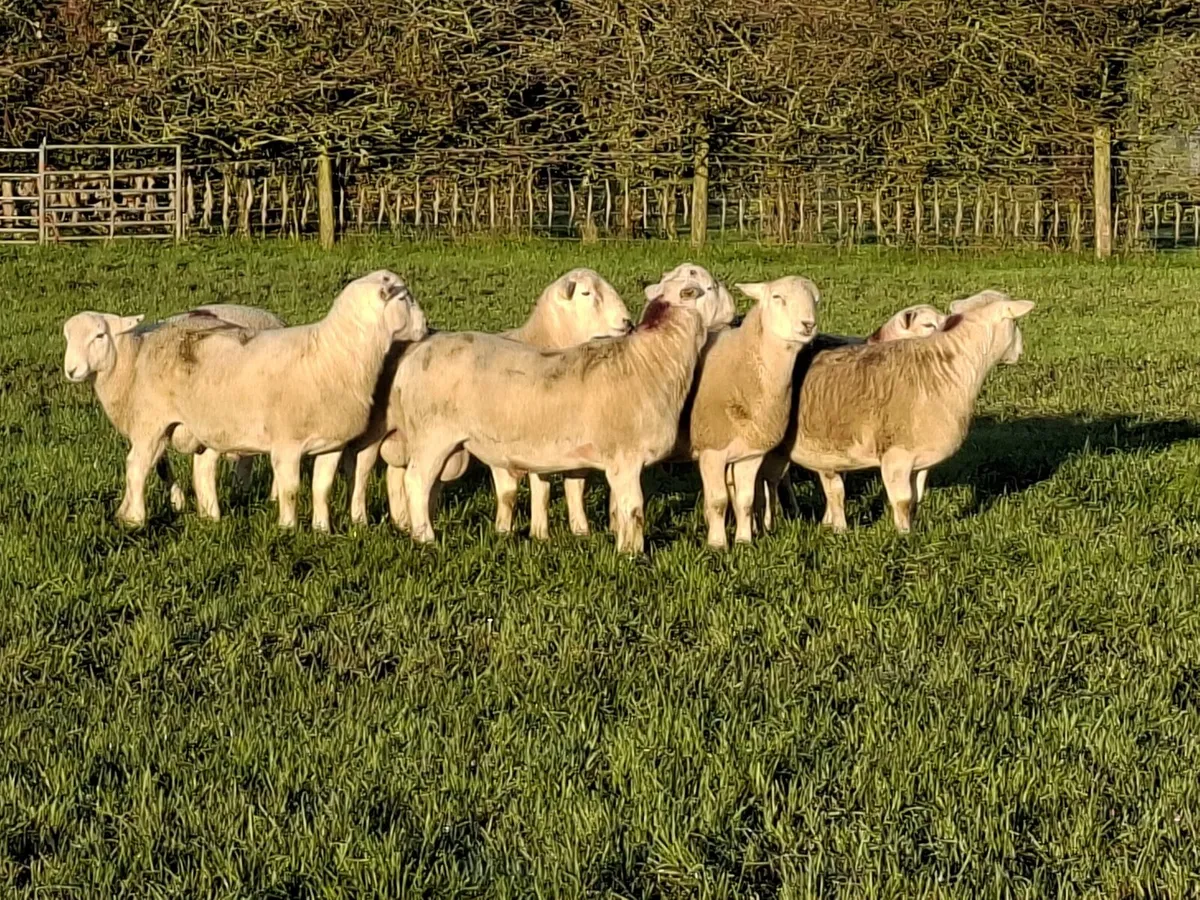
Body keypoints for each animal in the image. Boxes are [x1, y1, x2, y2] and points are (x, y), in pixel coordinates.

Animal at [74, 270, 426, 531]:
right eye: (404, 298)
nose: (425, 326)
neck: (332, 352)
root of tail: (160, 332)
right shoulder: (286, 443)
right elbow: (291, 489)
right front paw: (288, 529)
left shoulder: (332, 443)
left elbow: (321, 488)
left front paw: (322, 530)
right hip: (152, 422)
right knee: (137, 466)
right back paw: (134, 519)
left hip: (203, 427)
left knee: (200, 469)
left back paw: (211, 517)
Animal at [349, 268, 633, 538]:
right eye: (586, 293)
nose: (628, 322)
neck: (543, 340)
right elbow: (528, 490)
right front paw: (529, 533)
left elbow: (571, 487)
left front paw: (577, 532)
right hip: (384, 429)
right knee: (365, 468)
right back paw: (363, 520)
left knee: (394, 473)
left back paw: (403, 522)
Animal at [393, 277, 709, 553]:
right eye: (700, 290)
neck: (651, 359)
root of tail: (413, 358)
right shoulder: (626, 457)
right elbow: (633, 508)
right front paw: (631, 554)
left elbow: (619, 508)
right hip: (432, 435)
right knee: (416, 482)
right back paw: (425, 538)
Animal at [666, 276, 820, 548]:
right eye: (777, 297)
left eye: (816, 300)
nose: (808, 324)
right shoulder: (711, 449)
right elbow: (718, 501)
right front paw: (717, 544)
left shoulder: (751, 453)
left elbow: (745, 500)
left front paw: (744, 541)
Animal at [767, 290, 1033, 534]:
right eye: (1015, 322)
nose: (1020, 351)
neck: (944, 369)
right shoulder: (896, 456)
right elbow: (901, 501)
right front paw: (904, 537)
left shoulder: (921, 459)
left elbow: (916, 498)